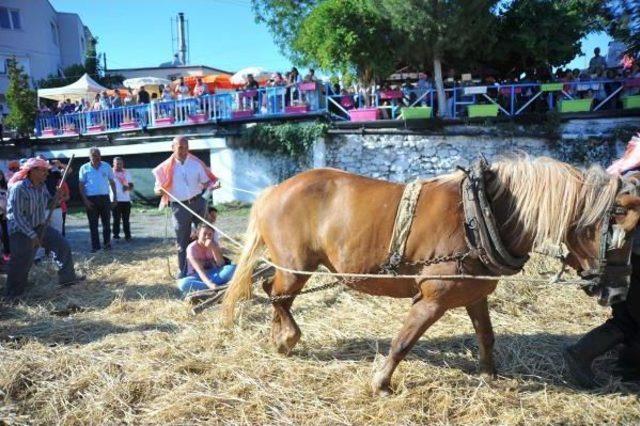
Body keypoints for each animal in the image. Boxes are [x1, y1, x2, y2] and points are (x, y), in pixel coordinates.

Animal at [222, 156, 640, 396]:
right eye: (613, 233)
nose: (618, 294)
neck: (479, 216)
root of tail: (276, 189)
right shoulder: (432, 299)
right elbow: (403, 342)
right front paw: (381, 383)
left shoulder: (475, 295)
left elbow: (486, 337)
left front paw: (490, 376)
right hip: (297, 266)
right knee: (277, 295)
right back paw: (287, 337)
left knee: (272, 291)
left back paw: (279, 337)